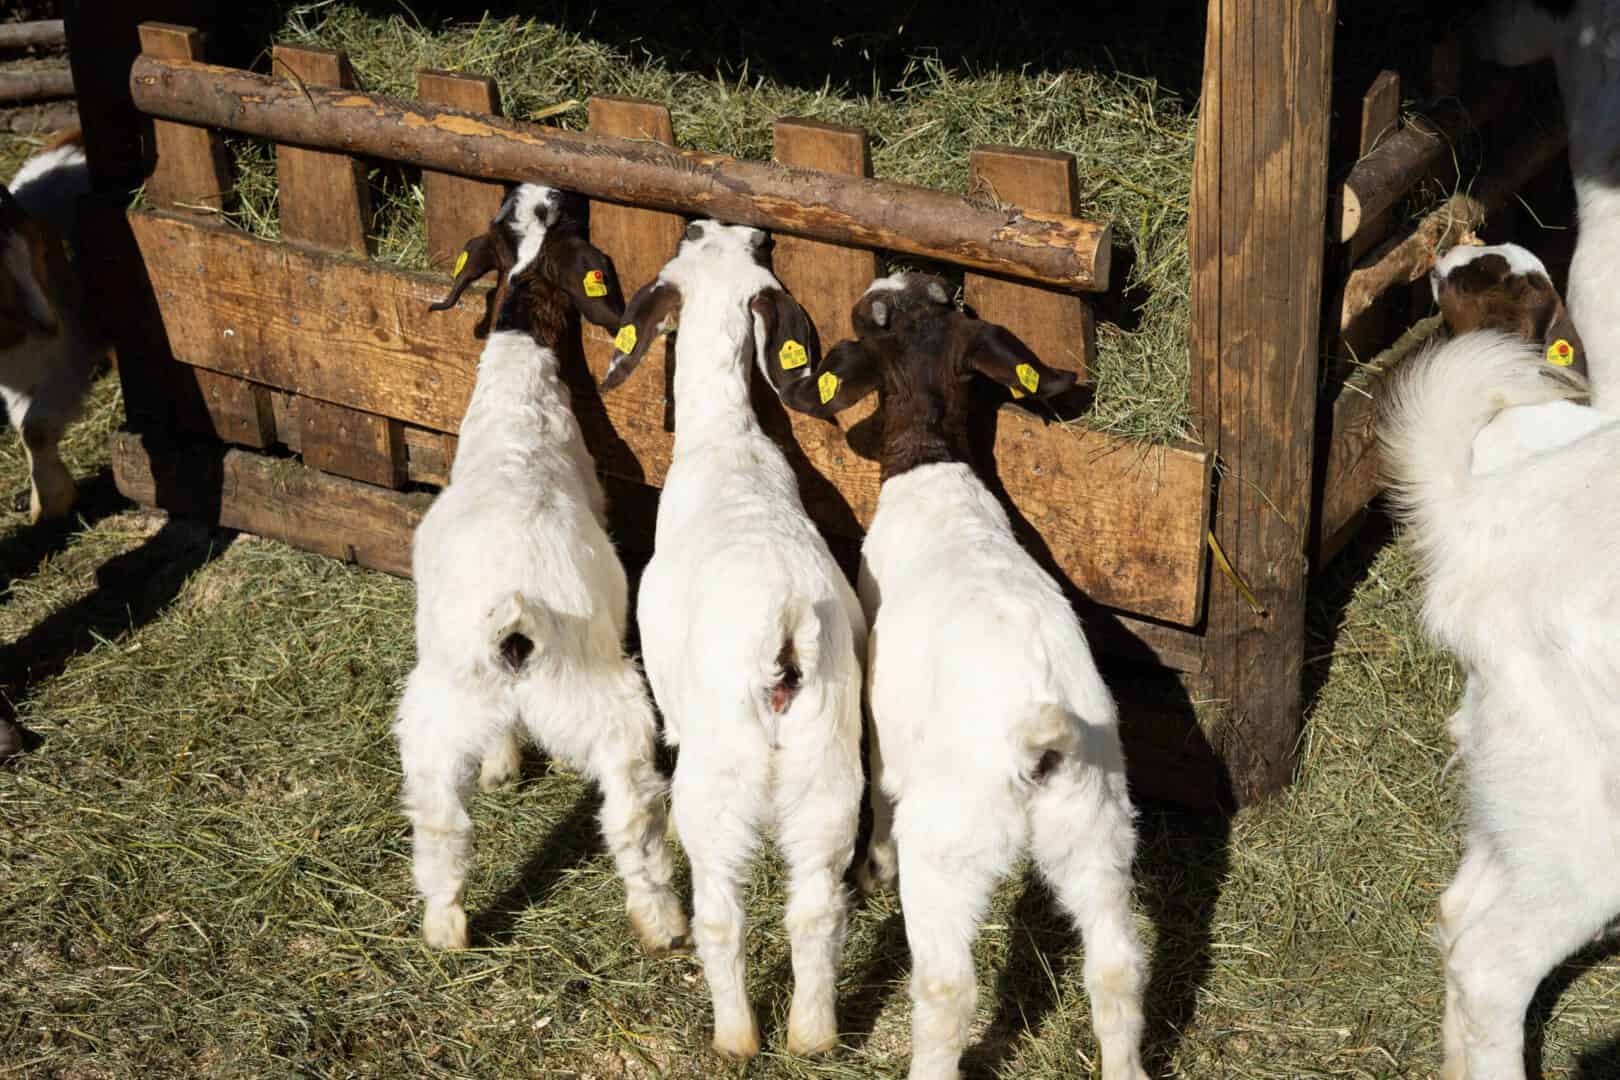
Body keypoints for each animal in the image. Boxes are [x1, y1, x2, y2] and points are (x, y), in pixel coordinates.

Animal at [394, 184, 687, 956]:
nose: (565, 192)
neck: (515, 416)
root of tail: (515, 620)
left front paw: (500, 765)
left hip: (438, 716)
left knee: (440, 822)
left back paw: (446, 927)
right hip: (609, 709)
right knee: (632, 816)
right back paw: (662, 922)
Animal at [601, 219, 866, 1060]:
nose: (731, 225)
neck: (728, 445)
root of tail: (781, 636)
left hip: (717, 793)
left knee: (724, 915)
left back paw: (737, 1036)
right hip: (827, 784)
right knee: (815, 908)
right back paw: (812, 1034)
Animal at [776, 273, 1148, 1080]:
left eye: (868, 321)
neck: (932, 464)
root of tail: (1039, 746)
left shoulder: (880, 710)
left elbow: (881, 786)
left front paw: (873, 865)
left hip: (951, 849)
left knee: (948, 986)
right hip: (1096, 831)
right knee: (1115, 967)